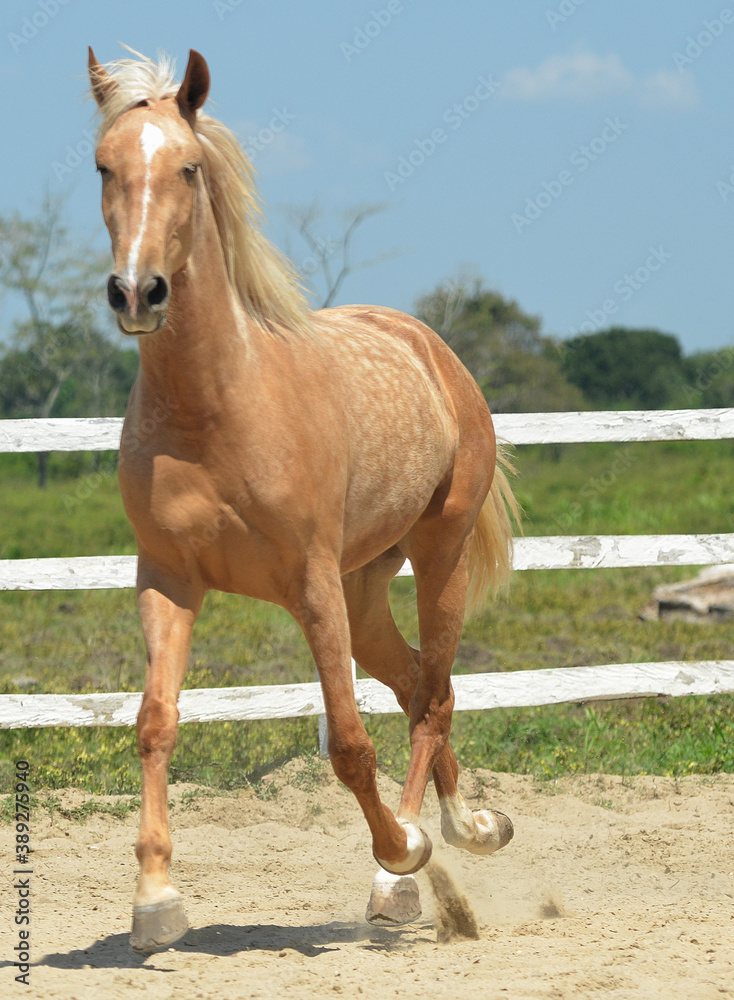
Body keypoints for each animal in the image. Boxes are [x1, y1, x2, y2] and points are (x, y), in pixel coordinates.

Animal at [87, 46, 519, 953]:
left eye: (187, 167)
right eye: (104, 165)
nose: (137, 293)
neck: (217, 407)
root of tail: (430, 347)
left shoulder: (309, 584)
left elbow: (349, 744)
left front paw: (401, 851)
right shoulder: (168, 580)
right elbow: (155, 722)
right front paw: (155, 902)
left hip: (437, 559)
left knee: (432, 696)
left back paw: (406, 868)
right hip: (365, 589)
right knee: (423, 686)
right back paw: (464, 832)